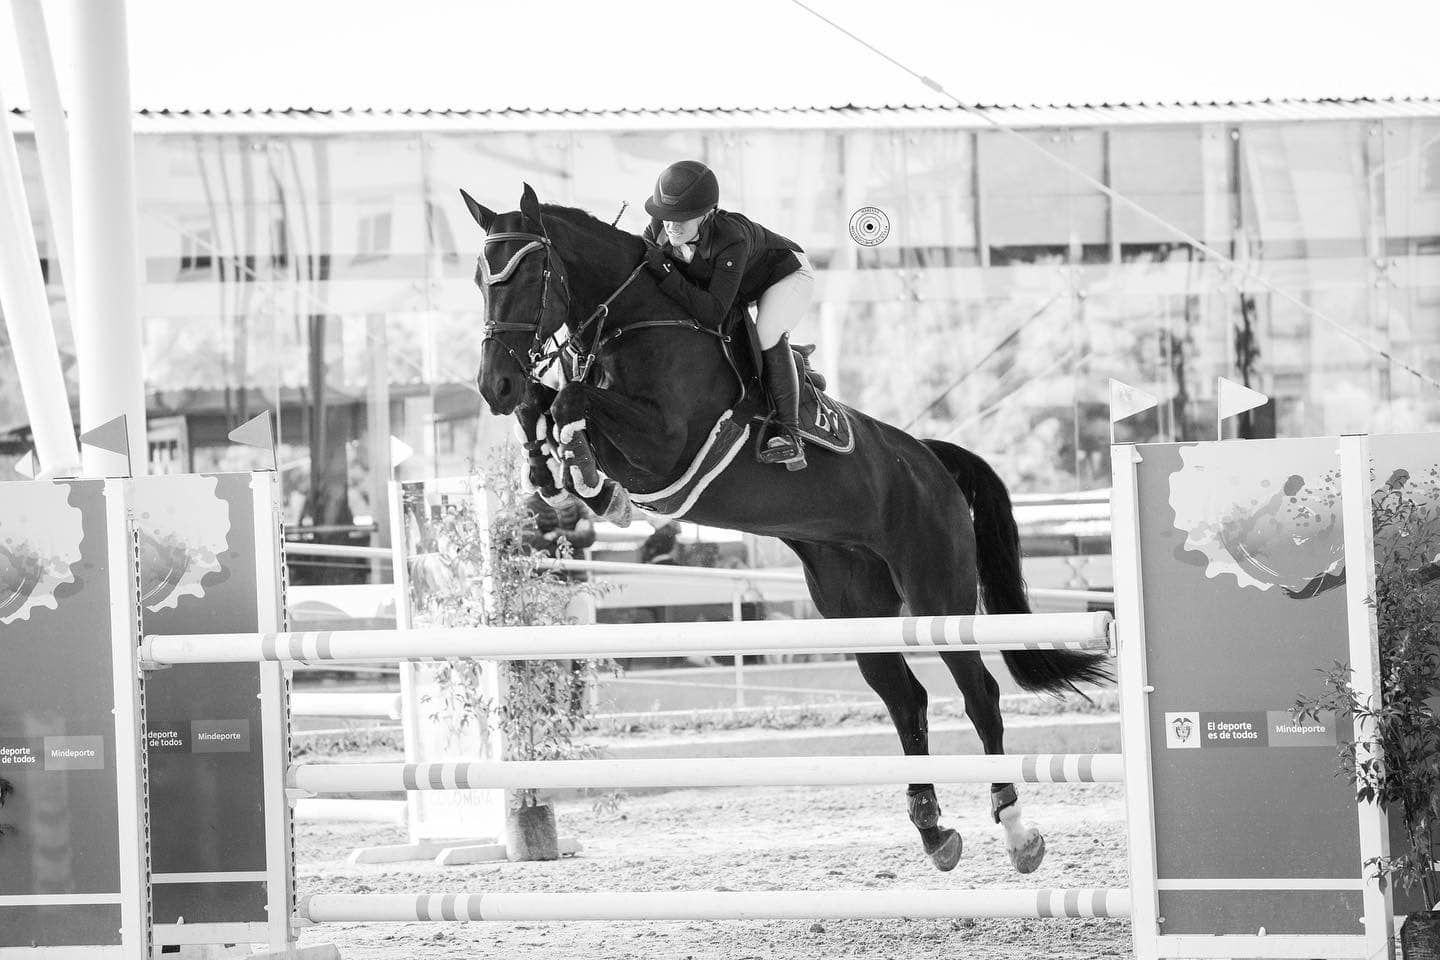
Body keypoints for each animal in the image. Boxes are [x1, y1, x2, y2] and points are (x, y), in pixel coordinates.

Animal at [462, 183, 1111, 873]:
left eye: (530, 273)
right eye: (480, 277)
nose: (493, 384)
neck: (632, 321)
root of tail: (929, 461)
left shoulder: (666, 445)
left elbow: (570, 402)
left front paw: (585, 474)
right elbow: (547, 405)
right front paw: (549, 468)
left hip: (939, 591)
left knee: (979, 693)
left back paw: (1018, 831)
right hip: (852, 603)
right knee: (905, 699)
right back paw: (934, 830)